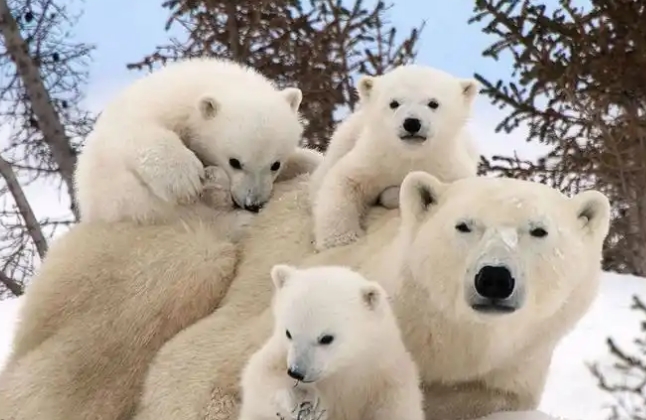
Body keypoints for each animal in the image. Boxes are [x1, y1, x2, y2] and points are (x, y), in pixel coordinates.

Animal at [74, 56, 322, 224]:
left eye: (275, 164)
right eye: (234, 162)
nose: (252, 204)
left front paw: (311, 160)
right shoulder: (150, 109)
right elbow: (137, 130)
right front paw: (186, 178)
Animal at [238, 264, 424, 420]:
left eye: (326, 338)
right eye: (288, 333)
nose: (296, 372)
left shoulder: (385, 375)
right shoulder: (277, 354)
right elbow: (257, 377)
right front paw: (303, 402)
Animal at [309, 64, 481, 250]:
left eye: (433, 103)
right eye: (394, 103)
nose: (412, 123)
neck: (409, 156)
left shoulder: (448, 167)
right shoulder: (374, 159)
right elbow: (345, 180)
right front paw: (340, 239)